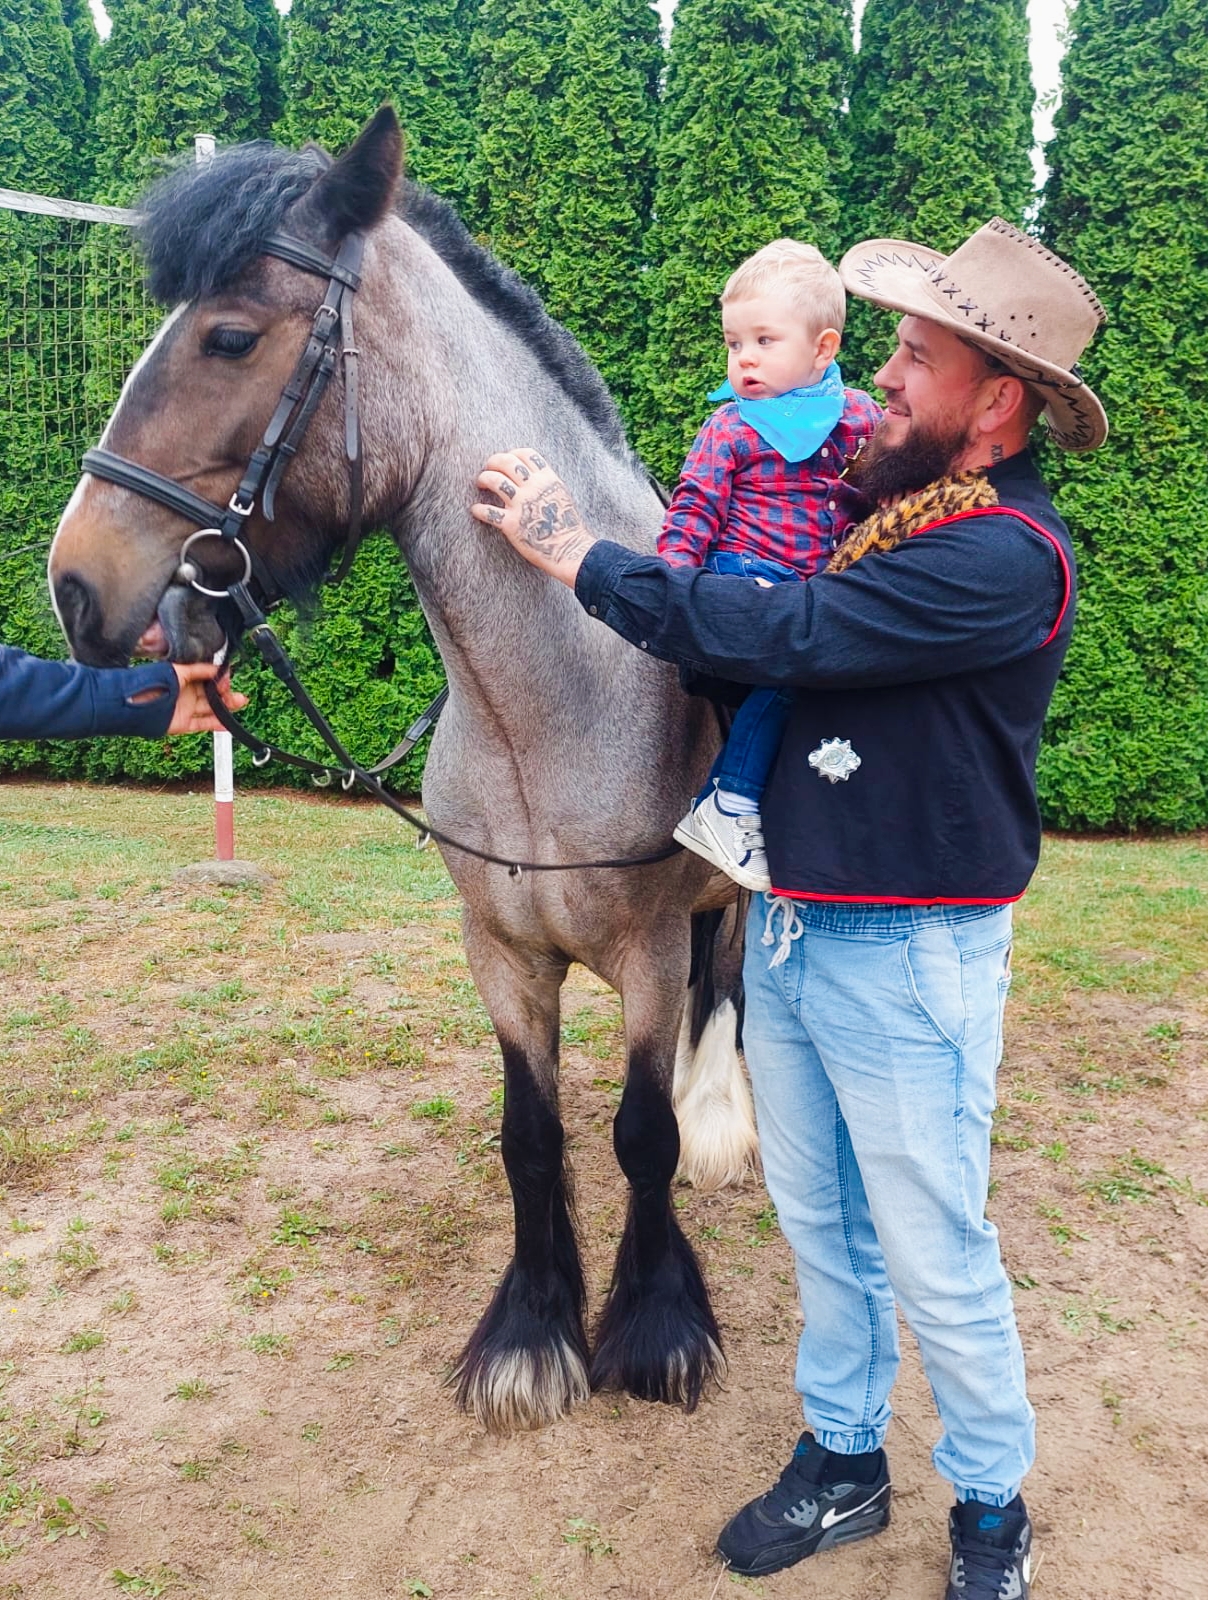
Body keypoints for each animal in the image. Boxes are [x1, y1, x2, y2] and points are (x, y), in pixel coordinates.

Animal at [48, 107, 757, 1433]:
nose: (75, 587)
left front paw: (653, 1326)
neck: (558, 694)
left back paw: (723, 1125)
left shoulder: (643, 954)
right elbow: (530, 1138)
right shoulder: (500, 955)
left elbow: (638, 1134)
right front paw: (531, 1336)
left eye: (230, 335)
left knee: (727, 975)